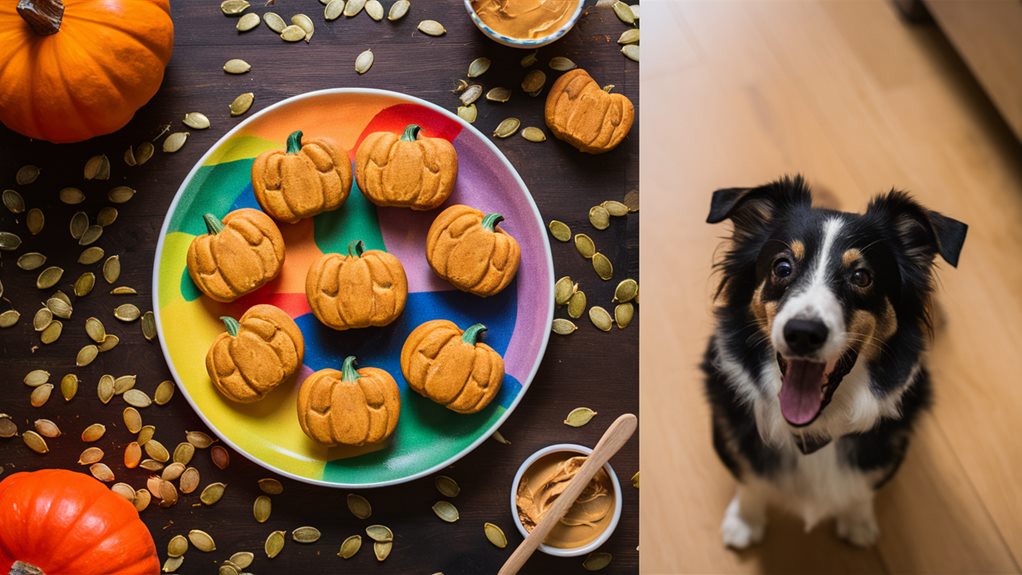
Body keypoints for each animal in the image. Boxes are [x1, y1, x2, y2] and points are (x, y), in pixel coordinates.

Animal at [703, 175, 964, 547]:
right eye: (782, 267)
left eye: (861, 277)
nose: (803, 333)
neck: (813, 430)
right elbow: (751, 480)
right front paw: (744, 522)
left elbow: (862, 490)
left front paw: (858, 522)